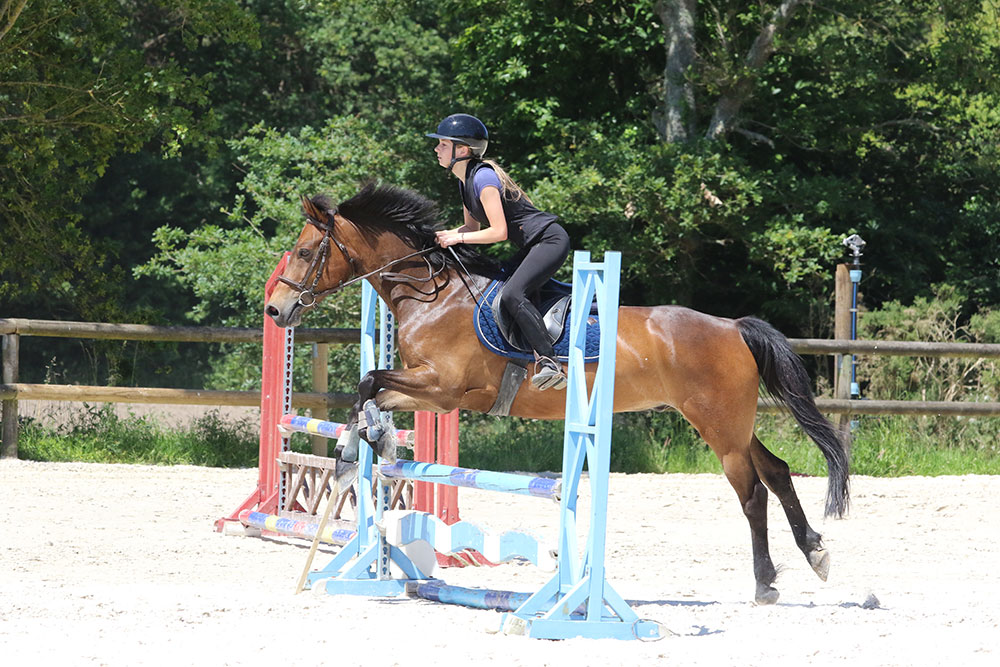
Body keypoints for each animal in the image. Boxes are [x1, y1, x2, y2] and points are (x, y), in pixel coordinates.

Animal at [266, 183, 852, 604]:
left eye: (305, 251)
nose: (275, 310)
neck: (432, 293)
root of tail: (733, 327)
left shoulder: (444, 390)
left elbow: (371, 383)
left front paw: (361, 449)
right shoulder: (427, 391)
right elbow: (371, 391)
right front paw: (363, 447)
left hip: (719, 427)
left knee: (752, 492)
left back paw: (766, 582)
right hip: (731, 423)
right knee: (776, 471)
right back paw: (817, 555)